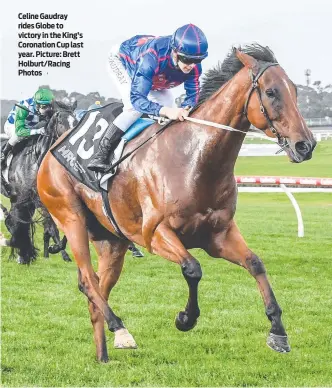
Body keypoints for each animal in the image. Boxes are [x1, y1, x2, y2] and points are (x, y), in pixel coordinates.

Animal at [37, 44, 316, 360]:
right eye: (271, 92)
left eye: (295, 90)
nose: (306, 145)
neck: (193, 160)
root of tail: (52, 149)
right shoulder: (155, 233)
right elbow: (193, 268)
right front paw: (185, 318)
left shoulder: (218, 234)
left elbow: (255, 264)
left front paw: (278, 331)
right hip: (71, 218)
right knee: (86, 280)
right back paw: (121, 330)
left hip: (112, 241)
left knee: (98, 288)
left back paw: (103, 356)